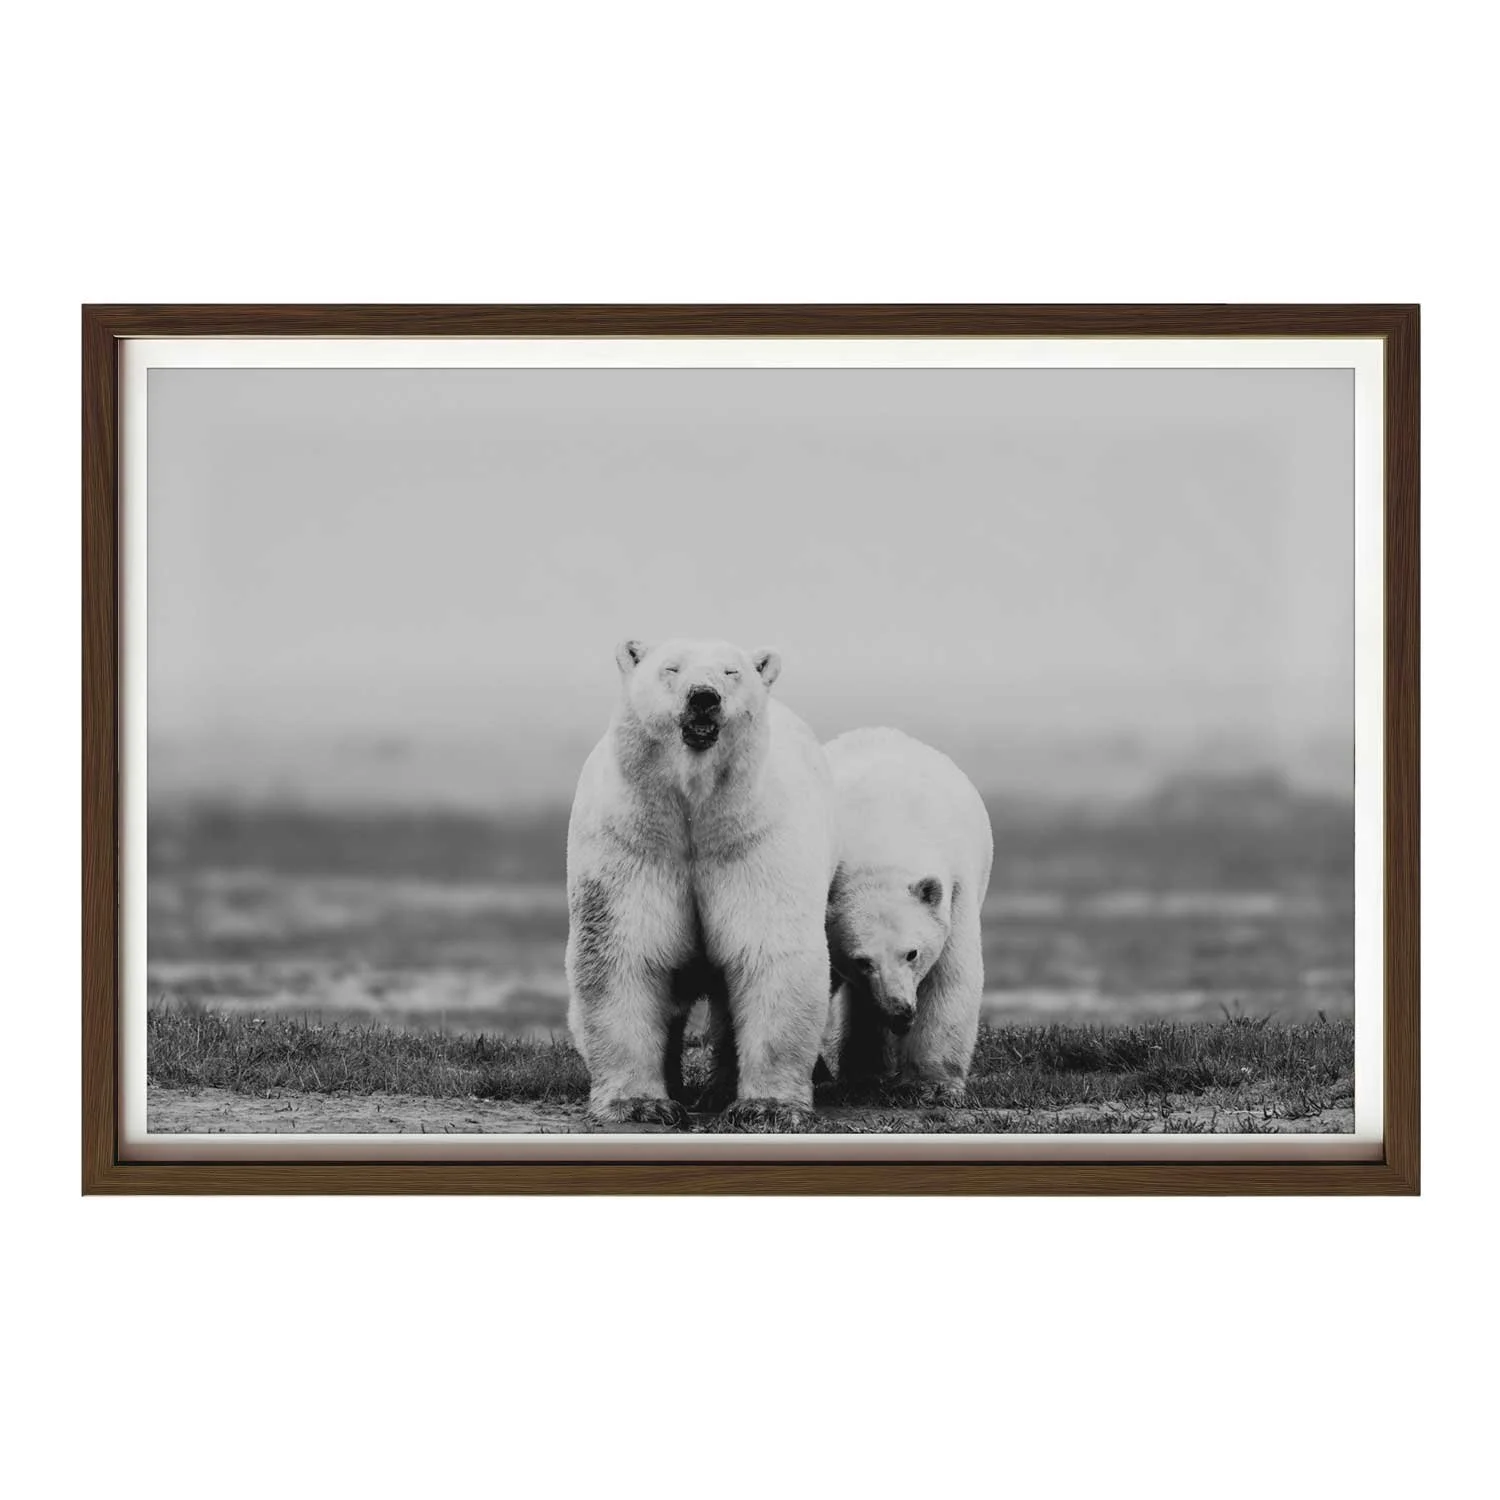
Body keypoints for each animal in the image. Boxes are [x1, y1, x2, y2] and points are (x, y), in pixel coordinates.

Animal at [565, 637, 839, 1129]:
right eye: (671, 668)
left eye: (732, 672)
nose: (704, 698)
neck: (694, 812)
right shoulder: (633, 841)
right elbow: (625, 953)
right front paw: (641, 1104)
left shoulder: (753, 841)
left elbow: (768, 952)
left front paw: (765, 1106)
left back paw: (719, 1090)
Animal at [820, 727, 994, 1103]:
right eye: (861, 961)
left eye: (912, 953)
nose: (899, 1012)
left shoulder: (954, 890)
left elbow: (948, 977)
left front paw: (932, 1084)